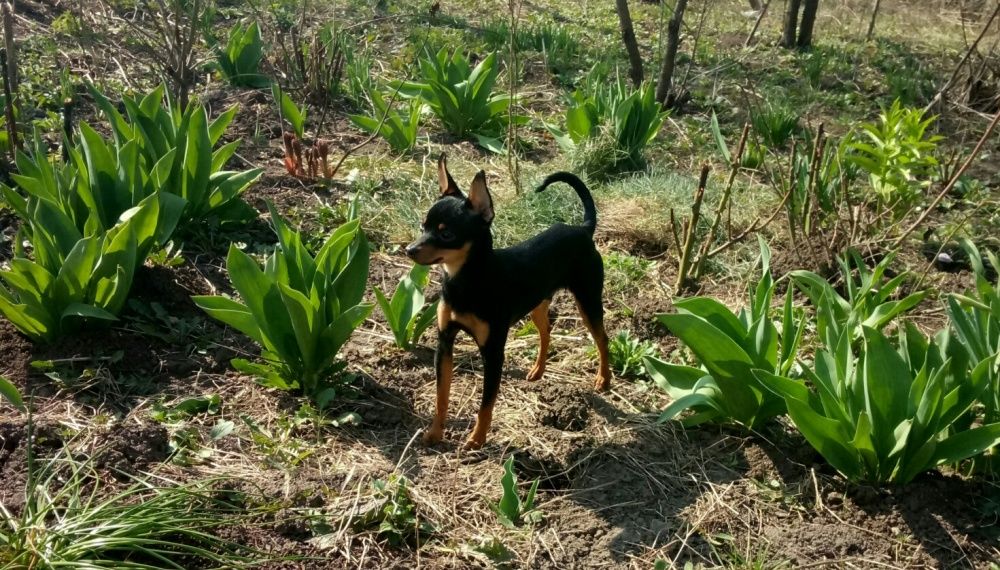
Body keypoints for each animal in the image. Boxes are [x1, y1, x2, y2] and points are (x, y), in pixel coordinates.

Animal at [404, 155, 608, 448]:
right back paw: (538, 370)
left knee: (602, 339)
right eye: (423, 227)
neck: (467, 282)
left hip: (588, 302)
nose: (409, 250)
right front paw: (434, 433)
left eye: (446, 234)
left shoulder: (493, 353)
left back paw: (604, 379)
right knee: (546, 331)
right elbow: (441, 396)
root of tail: (582, 229)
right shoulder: (444, 344)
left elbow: (486, 405)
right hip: (538, 305)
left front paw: (476, 440)